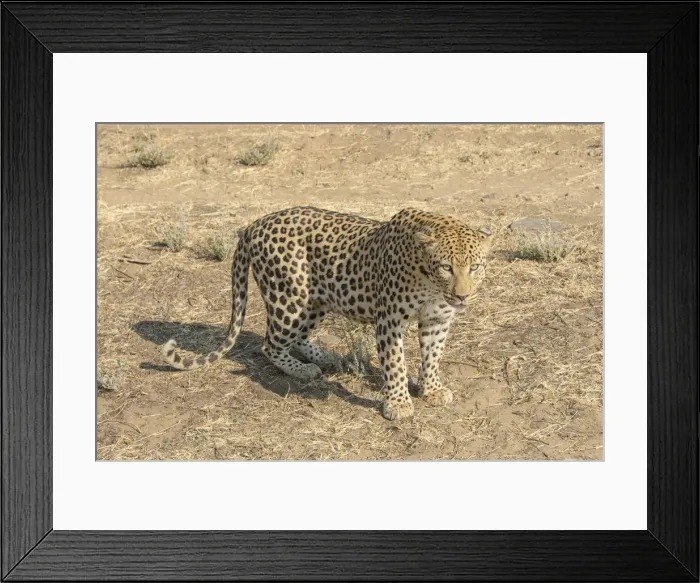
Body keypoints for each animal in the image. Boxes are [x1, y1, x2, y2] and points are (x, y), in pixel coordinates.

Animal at [162, 206, 493, 420]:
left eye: (475, 267)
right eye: (446, 267)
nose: (463, 295)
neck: (429, 281)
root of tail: (254, 224)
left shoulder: (437, 319)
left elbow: (432, 357)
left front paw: (432, 389)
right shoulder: (390, 321)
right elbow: (395, 363)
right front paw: (398, 404)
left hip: (315, 301)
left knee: (296, 338)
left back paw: (326, 356)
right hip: (290, 298)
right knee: (270, 345)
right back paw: (303, 369)